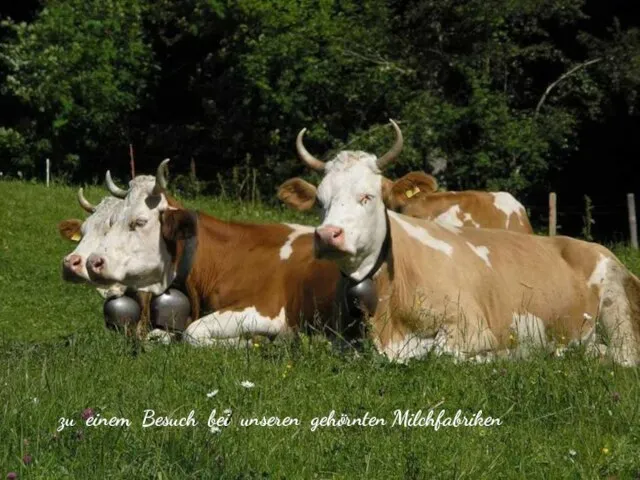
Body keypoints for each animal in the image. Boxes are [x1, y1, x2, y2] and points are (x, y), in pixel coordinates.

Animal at [282, 119, 640, 364]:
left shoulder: (472, 327)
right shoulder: (340, 339)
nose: (328, 235)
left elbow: (436, 352)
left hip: (615, 300)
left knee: (624, 355)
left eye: (367, 196)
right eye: (320, 201)